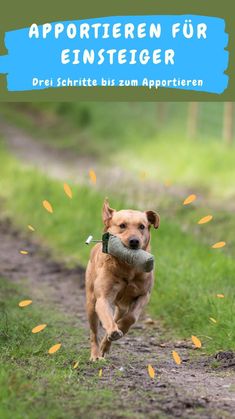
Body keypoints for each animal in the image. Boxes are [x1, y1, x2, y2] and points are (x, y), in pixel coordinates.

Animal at [85, 199, 160, 360]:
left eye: (142, 226)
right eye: (122, 225)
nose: (134, 241)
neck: (128, 267)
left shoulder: (144, 295)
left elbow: (131, 317)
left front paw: (119, 328)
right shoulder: (103, 298)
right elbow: (107, 319)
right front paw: (113, 331)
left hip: (121, 307)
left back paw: (105, 345)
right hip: (91, 304)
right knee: (94, 332)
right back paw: (96, 354)